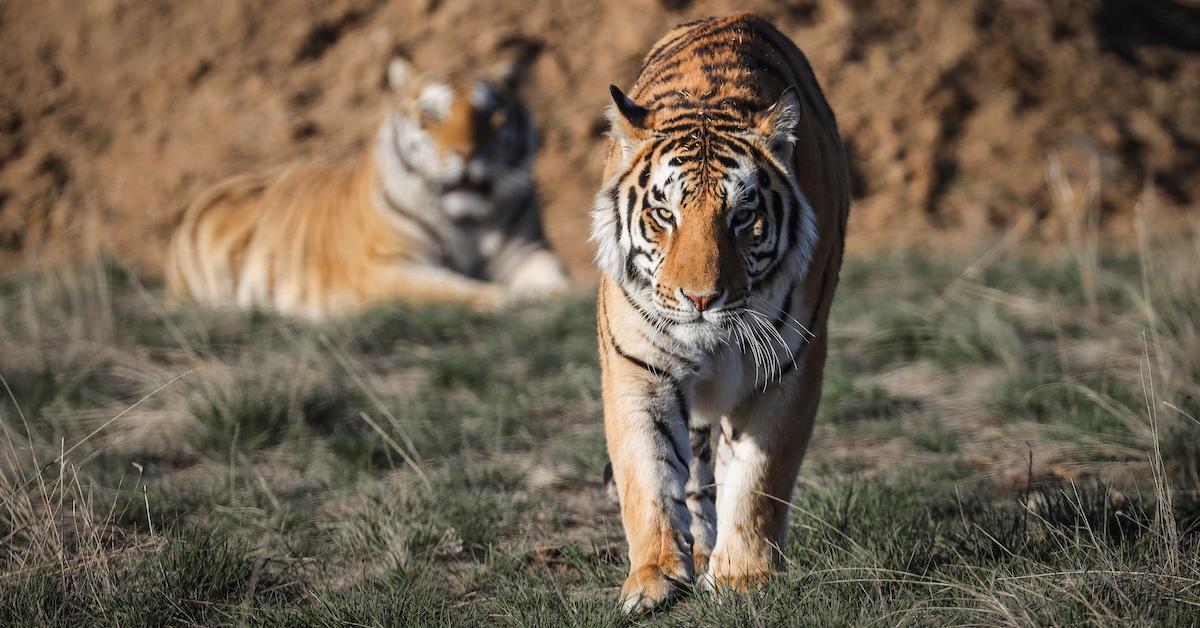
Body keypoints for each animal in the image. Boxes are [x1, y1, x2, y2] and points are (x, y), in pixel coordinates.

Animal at [166, 55, 569, 320]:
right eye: (431, 116)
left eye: (492, 115)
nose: (468, 153)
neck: (468, 221)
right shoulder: (385, 268)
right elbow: (446, 289)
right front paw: (510, 299)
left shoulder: (528, 251)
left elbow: (556, 279)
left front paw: (561, 297)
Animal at [590, 13, 849, 612]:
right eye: (665, 214)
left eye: (744, 215)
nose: (701, 299)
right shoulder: (638, 368)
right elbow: (648, 474)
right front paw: (654, 577)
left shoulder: (788, 368)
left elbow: (759, 479)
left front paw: (743, 576)